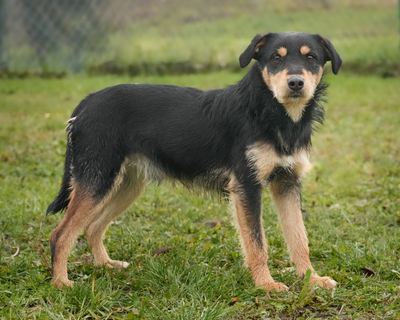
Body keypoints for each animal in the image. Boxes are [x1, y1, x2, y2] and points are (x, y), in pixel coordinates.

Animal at [47, 31, 340, 290]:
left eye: (311, 58)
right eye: (276, 58)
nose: (296, 83)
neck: (272, 112)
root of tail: (87, 103)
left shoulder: (288, 183)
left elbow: (299, 239)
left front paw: (311, 279)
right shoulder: (246, 187)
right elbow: (257, 243)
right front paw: (266, 285)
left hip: (126, 185)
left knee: (93, 227)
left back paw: (106, 265)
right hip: (97, 179)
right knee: (60, 234)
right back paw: (61, 282)